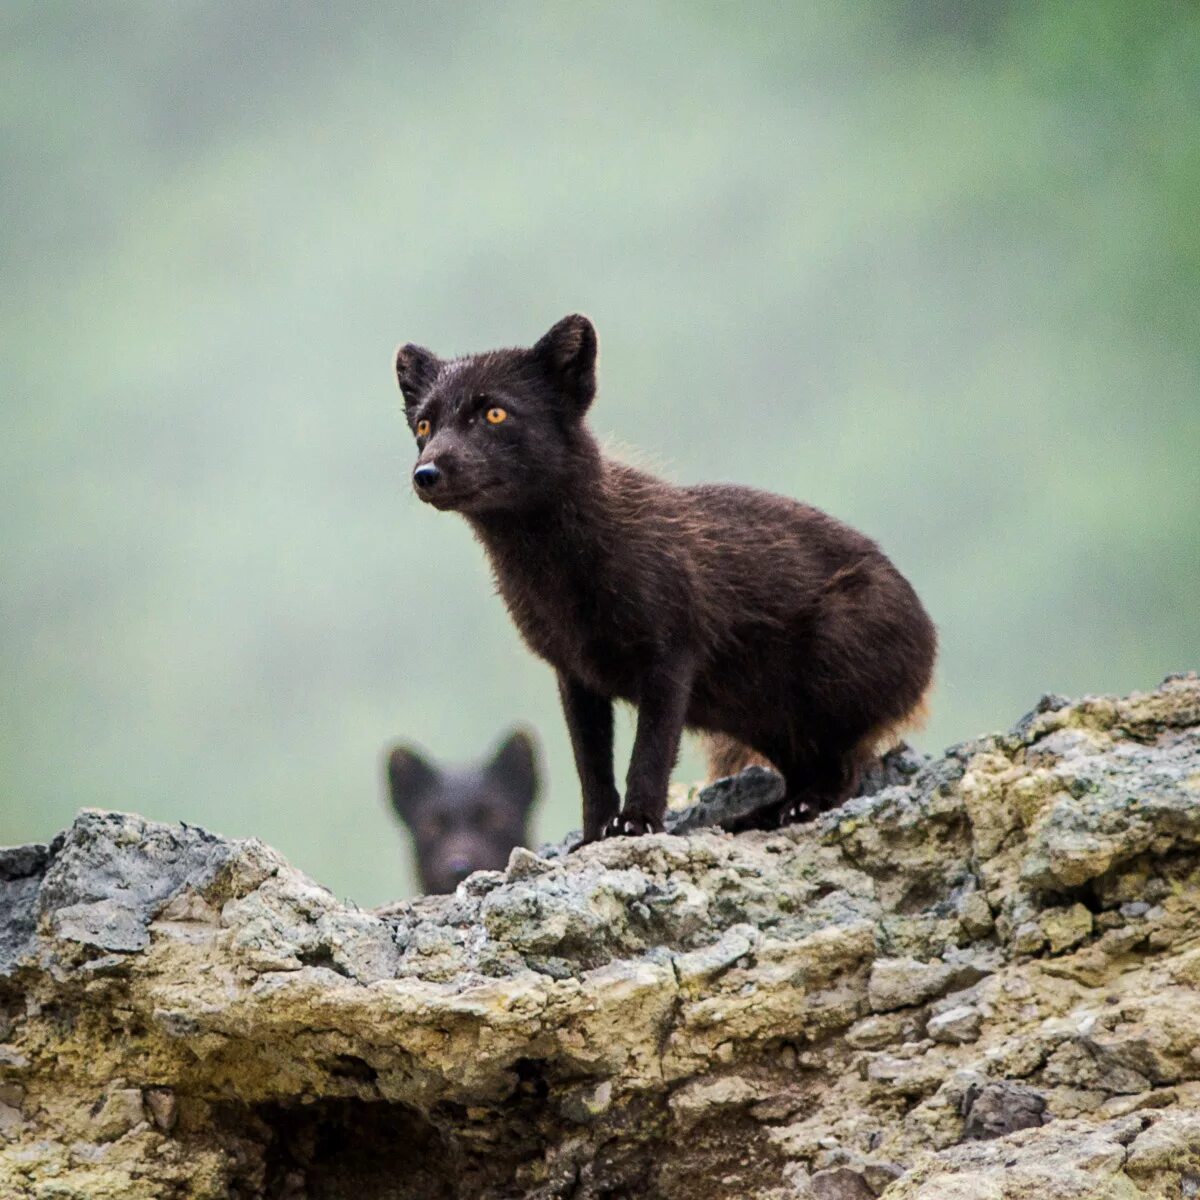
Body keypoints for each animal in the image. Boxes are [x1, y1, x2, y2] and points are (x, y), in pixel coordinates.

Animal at [396, 316, 936, 844]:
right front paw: (593, 837)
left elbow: (650, 754)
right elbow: (591, 769)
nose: (426, 474)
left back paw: (800, 809)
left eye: (495, 414)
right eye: (424, 424)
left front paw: (637, 825)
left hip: (823, 667)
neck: (560, 576)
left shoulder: (670, 653)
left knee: (845, 770)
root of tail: (929, 639)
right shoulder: (575, 674)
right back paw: (754, 816)